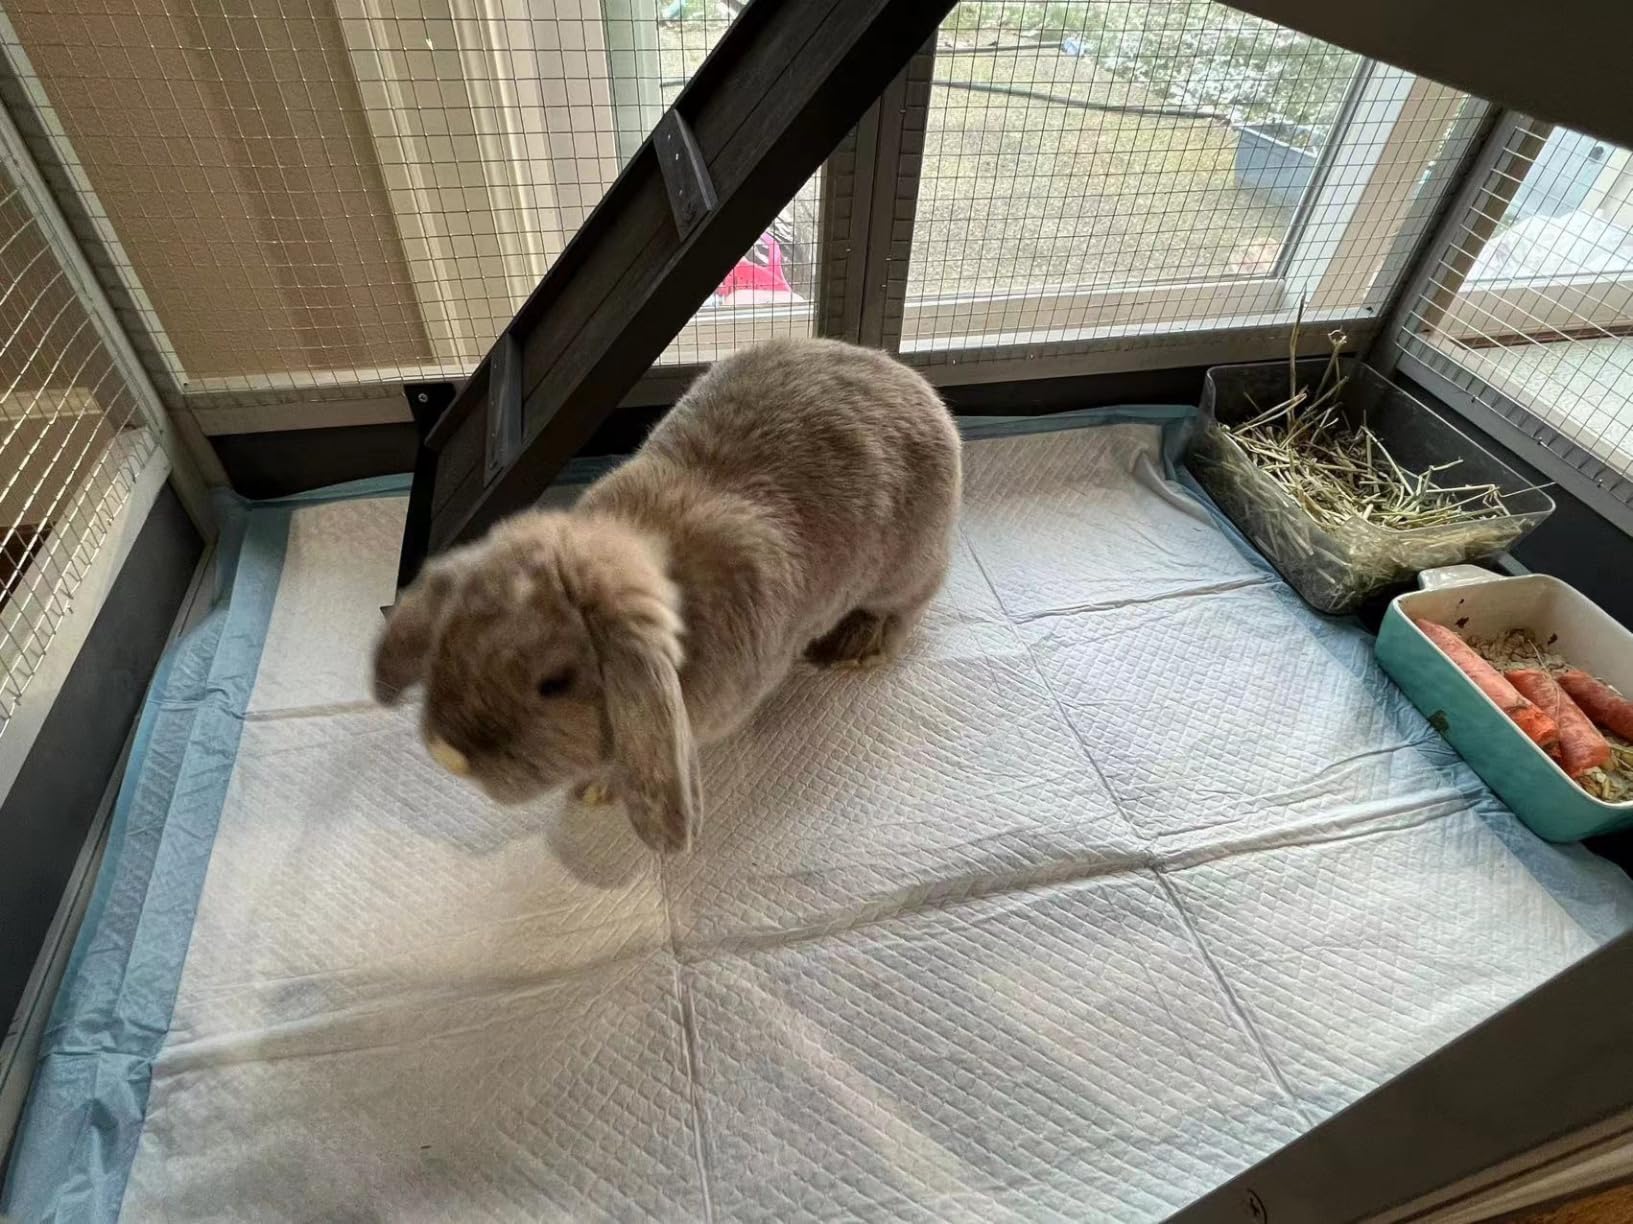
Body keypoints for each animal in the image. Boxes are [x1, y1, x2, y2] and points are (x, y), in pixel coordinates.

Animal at [372, 337, 962, 853]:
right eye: (449, 644)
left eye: (554, 684)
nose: (448, 755)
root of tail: (912, 381)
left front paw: (598, 789)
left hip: (910, 565)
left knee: (905, 609)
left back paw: (855, 647)